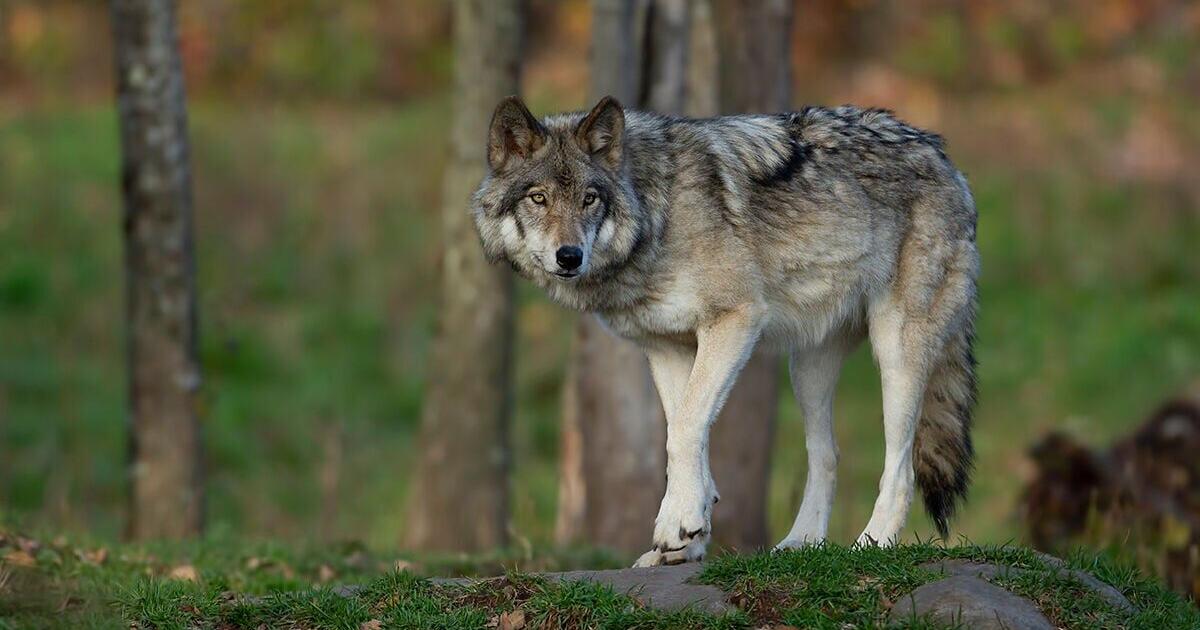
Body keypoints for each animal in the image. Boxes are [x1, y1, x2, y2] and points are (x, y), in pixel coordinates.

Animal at [472, 95, 978, 567]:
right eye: (538, 198)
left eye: (589, 199)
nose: (569, 256)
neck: (658, 215)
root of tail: (944, 157)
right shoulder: (668, 347)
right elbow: (685, 432)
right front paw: (687, 535)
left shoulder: (736, 320)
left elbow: (685, 429)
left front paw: (677, 524)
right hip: (807, 370)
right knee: (827, 455)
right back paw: (800, 545)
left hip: (896, 354)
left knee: (900, 467)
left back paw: (872, 545)